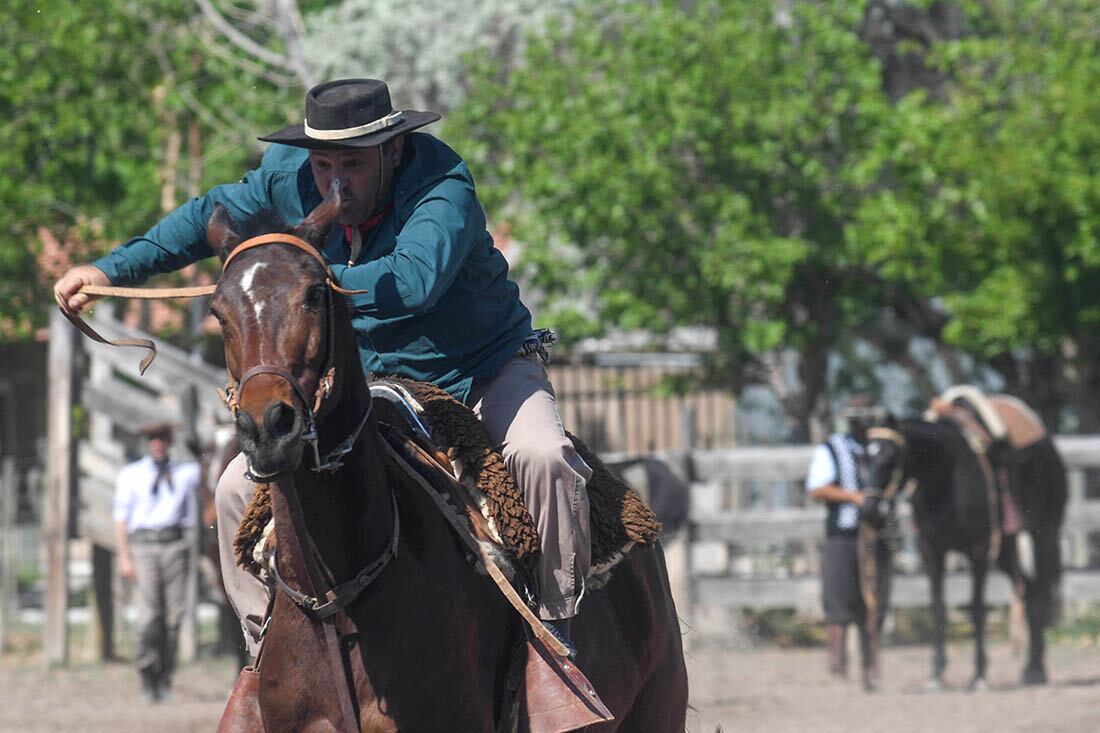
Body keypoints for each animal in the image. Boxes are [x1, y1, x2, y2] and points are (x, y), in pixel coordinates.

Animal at [866, 394, 1064, 686]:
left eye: (892, 456)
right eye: (863, 457)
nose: (870, 510)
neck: (946, 475)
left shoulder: (978, 550)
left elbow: (977, 607)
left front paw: (979, 673)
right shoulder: (931, 551)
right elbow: (938, 607)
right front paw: (937, 673)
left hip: (1044, 535)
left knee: (1038, 593)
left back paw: (1037, 670)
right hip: (1006, 550)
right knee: (1027, 592)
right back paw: (1031, 667)